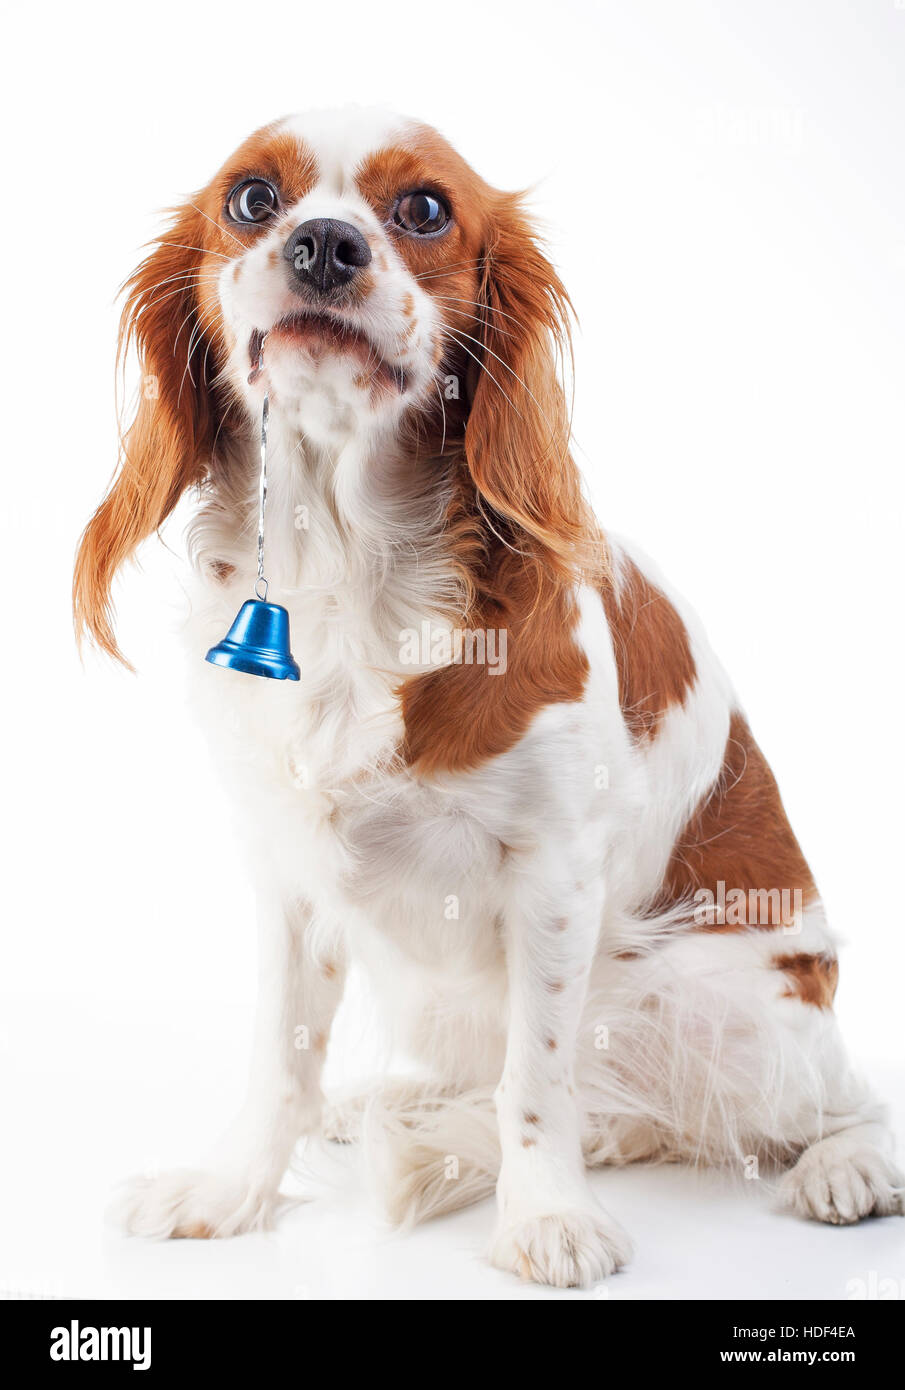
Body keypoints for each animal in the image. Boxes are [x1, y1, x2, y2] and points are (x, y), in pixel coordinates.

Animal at [74, 108, 900, 1289]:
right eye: (249, 199)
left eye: (423, 209)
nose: (324, 243)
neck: (349, 562)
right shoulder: (286, 869)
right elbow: (280, 1054)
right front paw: (230, 1191)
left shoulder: (553, 873)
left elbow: (536, 1081)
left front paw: (545, 1215)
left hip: (713, 1000)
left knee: (828, 1099)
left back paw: (844, 1168)